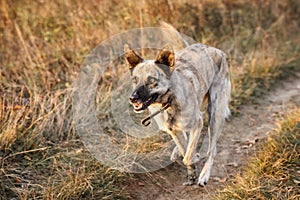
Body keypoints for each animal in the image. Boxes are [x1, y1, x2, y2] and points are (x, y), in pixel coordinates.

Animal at [123, 39, 231, 186]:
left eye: (151, 81)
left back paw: (204, 174)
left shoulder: (198, 122)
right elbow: (185, 150)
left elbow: (188, 156)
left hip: (215, 116)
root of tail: (217, 50)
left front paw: (194, 161)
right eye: (135, 80)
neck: (169, 101)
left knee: (212, 150)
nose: (132, 98)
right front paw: (191, 172)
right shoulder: (174, 130)